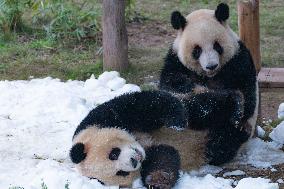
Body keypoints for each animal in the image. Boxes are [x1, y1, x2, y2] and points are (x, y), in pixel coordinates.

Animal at [69, 91, 248, 188]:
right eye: (121, 172)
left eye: (114, 153)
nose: (134, 161)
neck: (139, 141)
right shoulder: (149, 154)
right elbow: (164, 155)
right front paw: (158, 180)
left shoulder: (103, 117)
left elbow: (144, 104)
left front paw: (176, 121)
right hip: (210, 147)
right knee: (220, 146)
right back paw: (235, 133)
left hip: (195, 116)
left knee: (200, 108)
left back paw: (235, 105)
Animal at [159, 2, 258, 165]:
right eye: (197, 50)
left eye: (217, 46)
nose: (211, 66)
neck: (209, 76)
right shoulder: (174, 62)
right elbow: (172, 86)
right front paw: (187, 85)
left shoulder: (239, 60)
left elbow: (248, 98)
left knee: (227, 136)